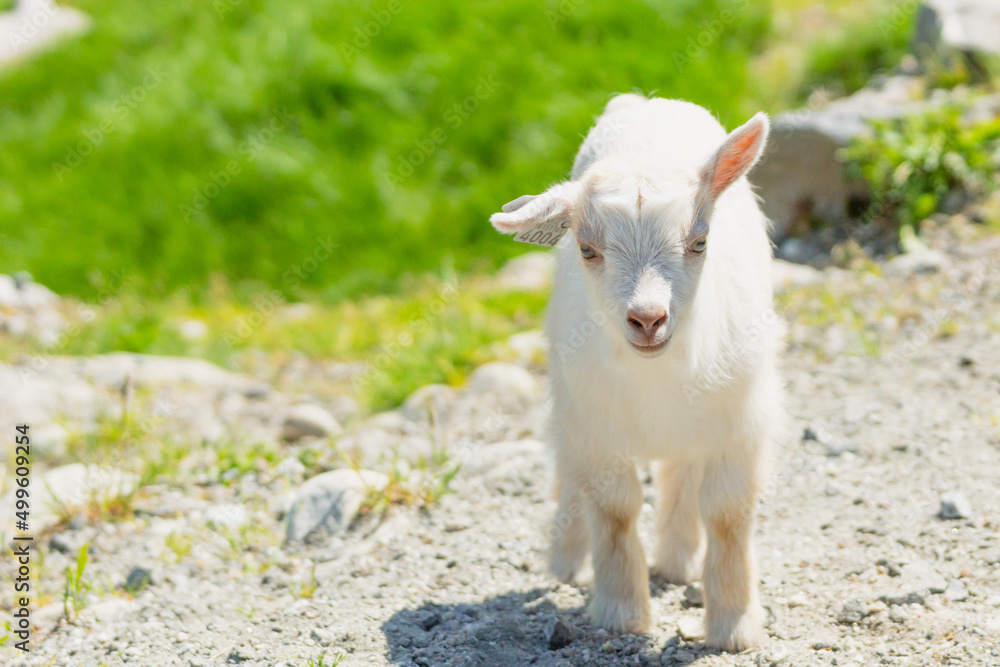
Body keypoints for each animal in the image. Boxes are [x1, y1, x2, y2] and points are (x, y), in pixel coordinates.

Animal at [489, 94, 786, 651]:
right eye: (587, 249)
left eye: (699, 241)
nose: (648, 319)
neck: (656, 379)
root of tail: (645, 100)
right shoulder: (596, 429)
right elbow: (614, 510)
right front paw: (622, 612)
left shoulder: (741, 421)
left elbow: (727, 512)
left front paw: (733, 625)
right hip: (568, 400)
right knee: (569, 470)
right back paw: (569, 562)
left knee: (680, 470)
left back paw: (677, 559)